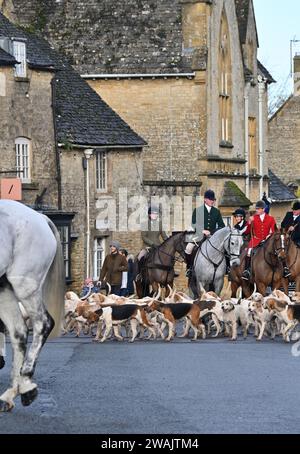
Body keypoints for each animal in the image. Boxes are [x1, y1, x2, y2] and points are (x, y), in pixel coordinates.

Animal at [0, 200, 65, 412]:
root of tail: (40, 217)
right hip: (5, 287)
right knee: (18, 332)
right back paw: (11, 393)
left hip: (24, 284)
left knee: (42, 324)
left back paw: (26, 383)